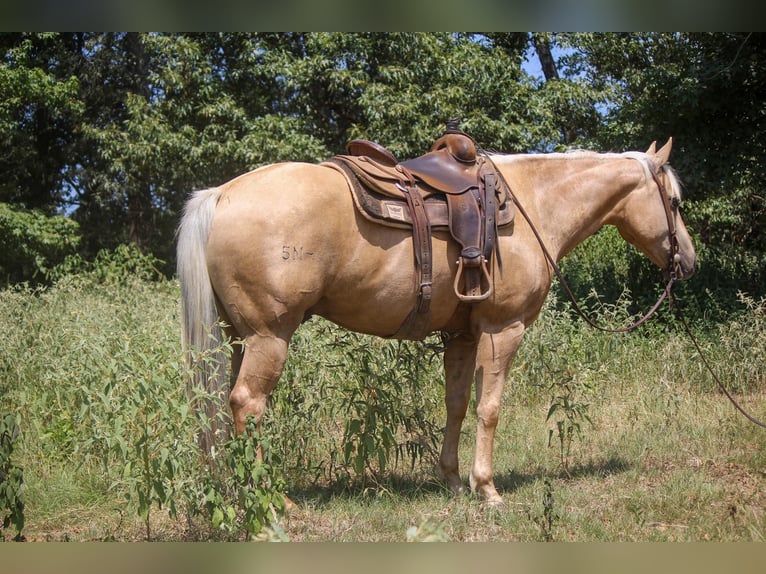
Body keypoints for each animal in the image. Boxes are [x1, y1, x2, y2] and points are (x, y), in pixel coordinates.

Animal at [177, 138, 700, 508]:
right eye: (674, 202)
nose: (689, 262)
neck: (533, 203)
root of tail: (221, 194)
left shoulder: (463, 335)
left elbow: (457, 405)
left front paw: (452, 480)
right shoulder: (503, 329)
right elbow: (490, 408)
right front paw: (486, 488)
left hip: (236, 339)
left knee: (222, 407)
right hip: (270, 336)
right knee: (248, 405)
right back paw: (272, 499)